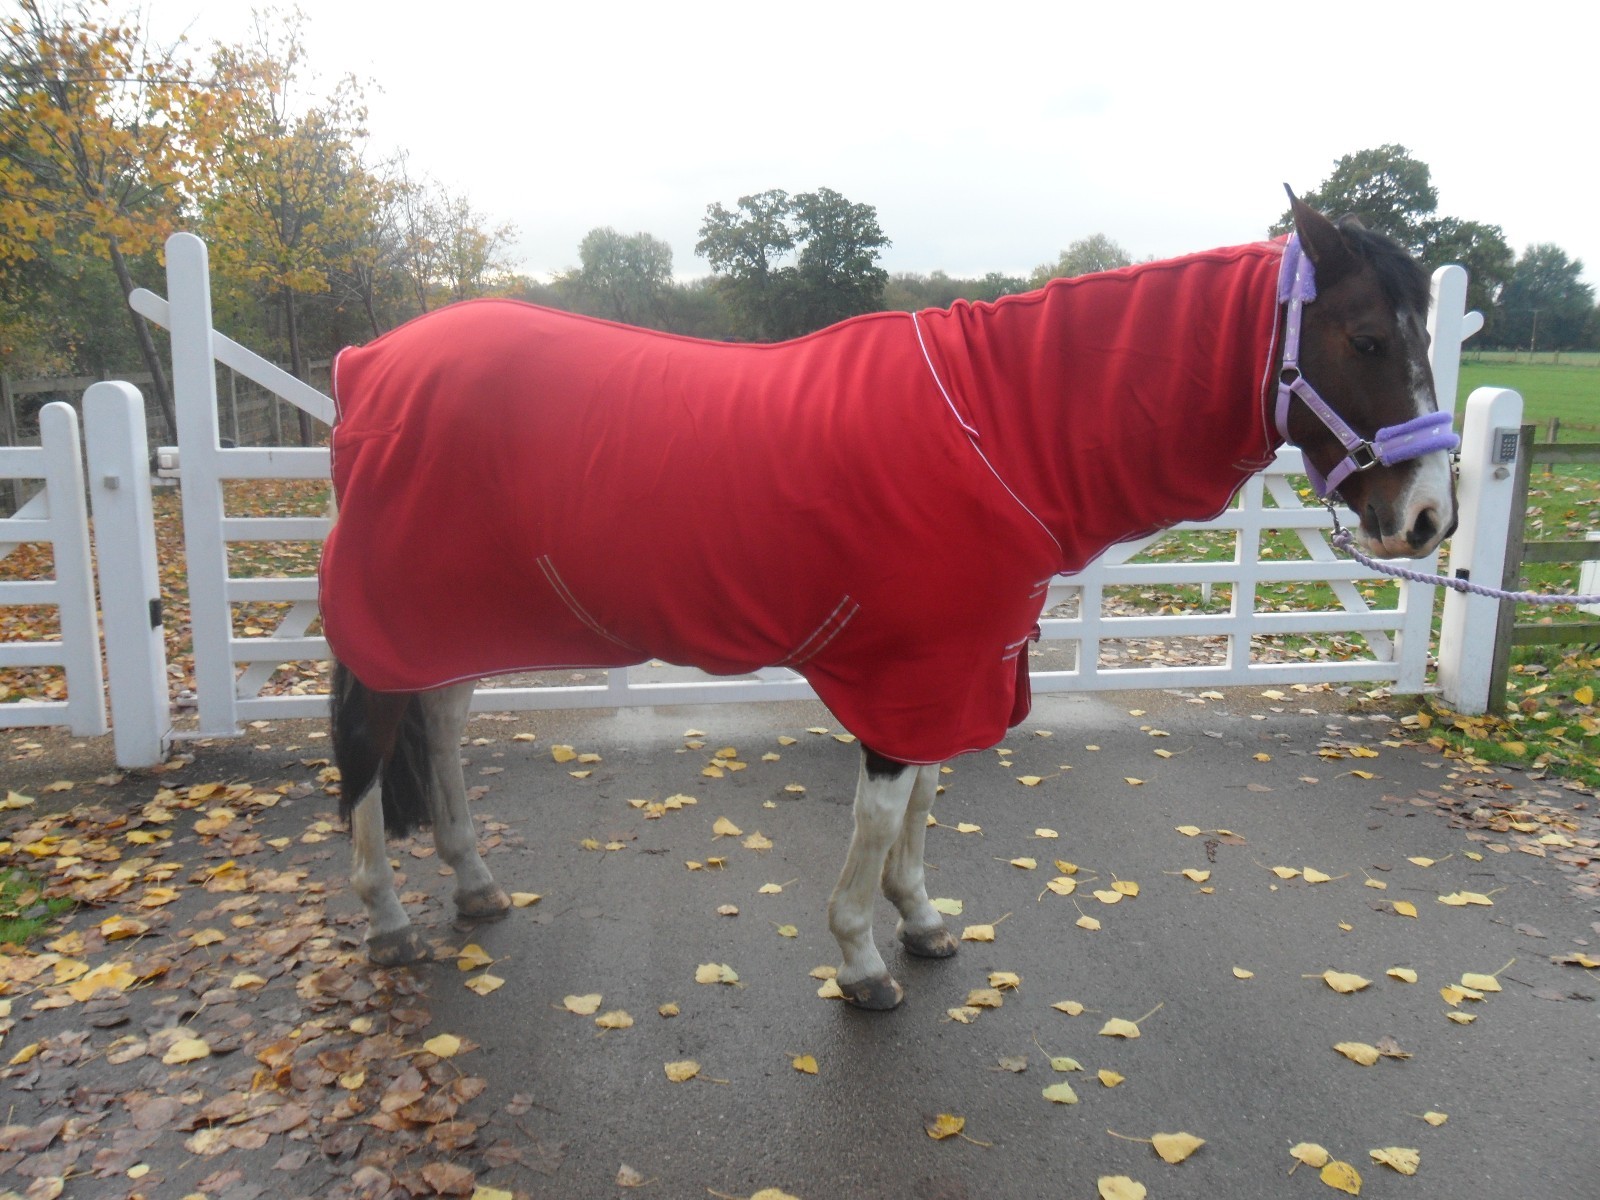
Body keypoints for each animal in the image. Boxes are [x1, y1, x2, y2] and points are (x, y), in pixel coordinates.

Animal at [321, 192, 1458, 1009]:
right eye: (1365, 338)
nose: (1428, 519)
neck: (994, 428)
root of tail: (368, 363)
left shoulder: (956, 663)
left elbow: (925, 798)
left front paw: (920, 921)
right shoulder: (901, 670)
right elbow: (878, 814)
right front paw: (861, 960)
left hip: (452, 620)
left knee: (442, 721)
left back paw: (475, 884)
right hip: (393, 619)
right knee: (373, 750)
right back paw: (388, 923)